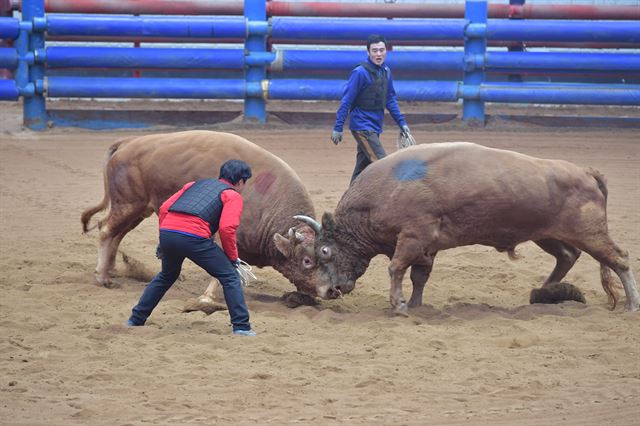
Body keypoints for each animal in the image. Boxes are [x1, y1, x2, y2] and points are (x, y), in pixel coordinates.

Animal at [80, 131, 320, 296]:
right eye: (307, 261)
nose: (329, 290)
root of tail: (128, 142)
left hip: (139, 209)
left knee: (117, 234)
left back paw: (111, 269)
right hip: (128, 204)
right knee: (107, 230)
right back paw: (102, 277)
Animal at [296, 142, 640, 312]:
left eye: (324, 250)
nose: (331, 290)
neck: (385, 190)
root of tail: (585, 172)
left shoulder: (413, 237)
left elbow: (396, 268)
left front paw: (399, 304)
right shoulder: (427, 247)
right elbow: (419, 276)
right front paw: (417, 304)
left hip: (589, 232)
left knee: (619, 259)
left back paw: (632, 304)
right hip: (547, 234)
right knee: (568, 256)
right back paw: (544, 291)